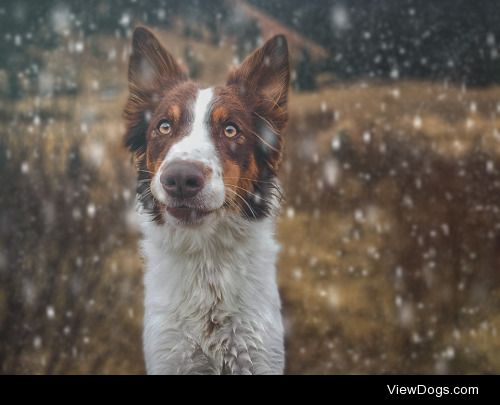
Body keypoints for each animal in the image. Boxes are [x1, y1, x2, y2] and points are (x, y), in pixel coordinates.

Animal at [122, 26, 290, 374]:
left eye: (230, 130)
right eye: (164, 126)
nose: (180, 180)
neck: (206, 261)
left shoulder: (259, 356)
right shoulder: (169, 355)